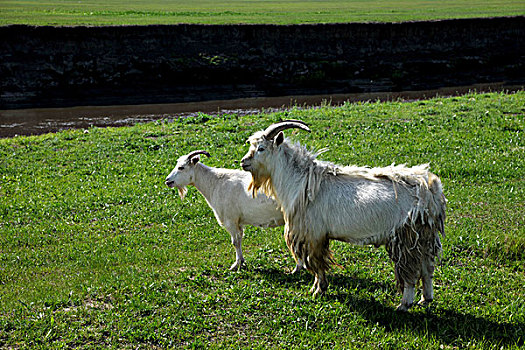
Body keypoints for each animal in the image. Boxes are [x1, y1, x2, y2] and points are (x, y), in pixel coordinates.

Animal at [164, 149, 302, 272]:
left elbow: (235, 242)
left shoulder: (230, 220)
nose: (167, 180)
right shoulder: (238, 221)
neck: (215, 182)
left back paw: (297, 268)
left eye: (181, 167)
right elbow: (239, 239)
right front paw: (241, 262)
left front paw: (236, 265)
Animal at [239, 121, 444, 312]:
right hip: (425, 235)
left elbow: (317, 263)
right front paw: (315, 289)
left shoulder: (314, 235)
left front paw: (319, 290)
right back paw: (426, 299)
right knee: (427, 267)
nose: (243, 162)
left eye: (261, 148)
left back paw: (404, 304)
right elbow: (315, 263)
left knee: (411, 270)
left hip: (406, 236)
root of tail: (430, 190)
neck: (301, 180)